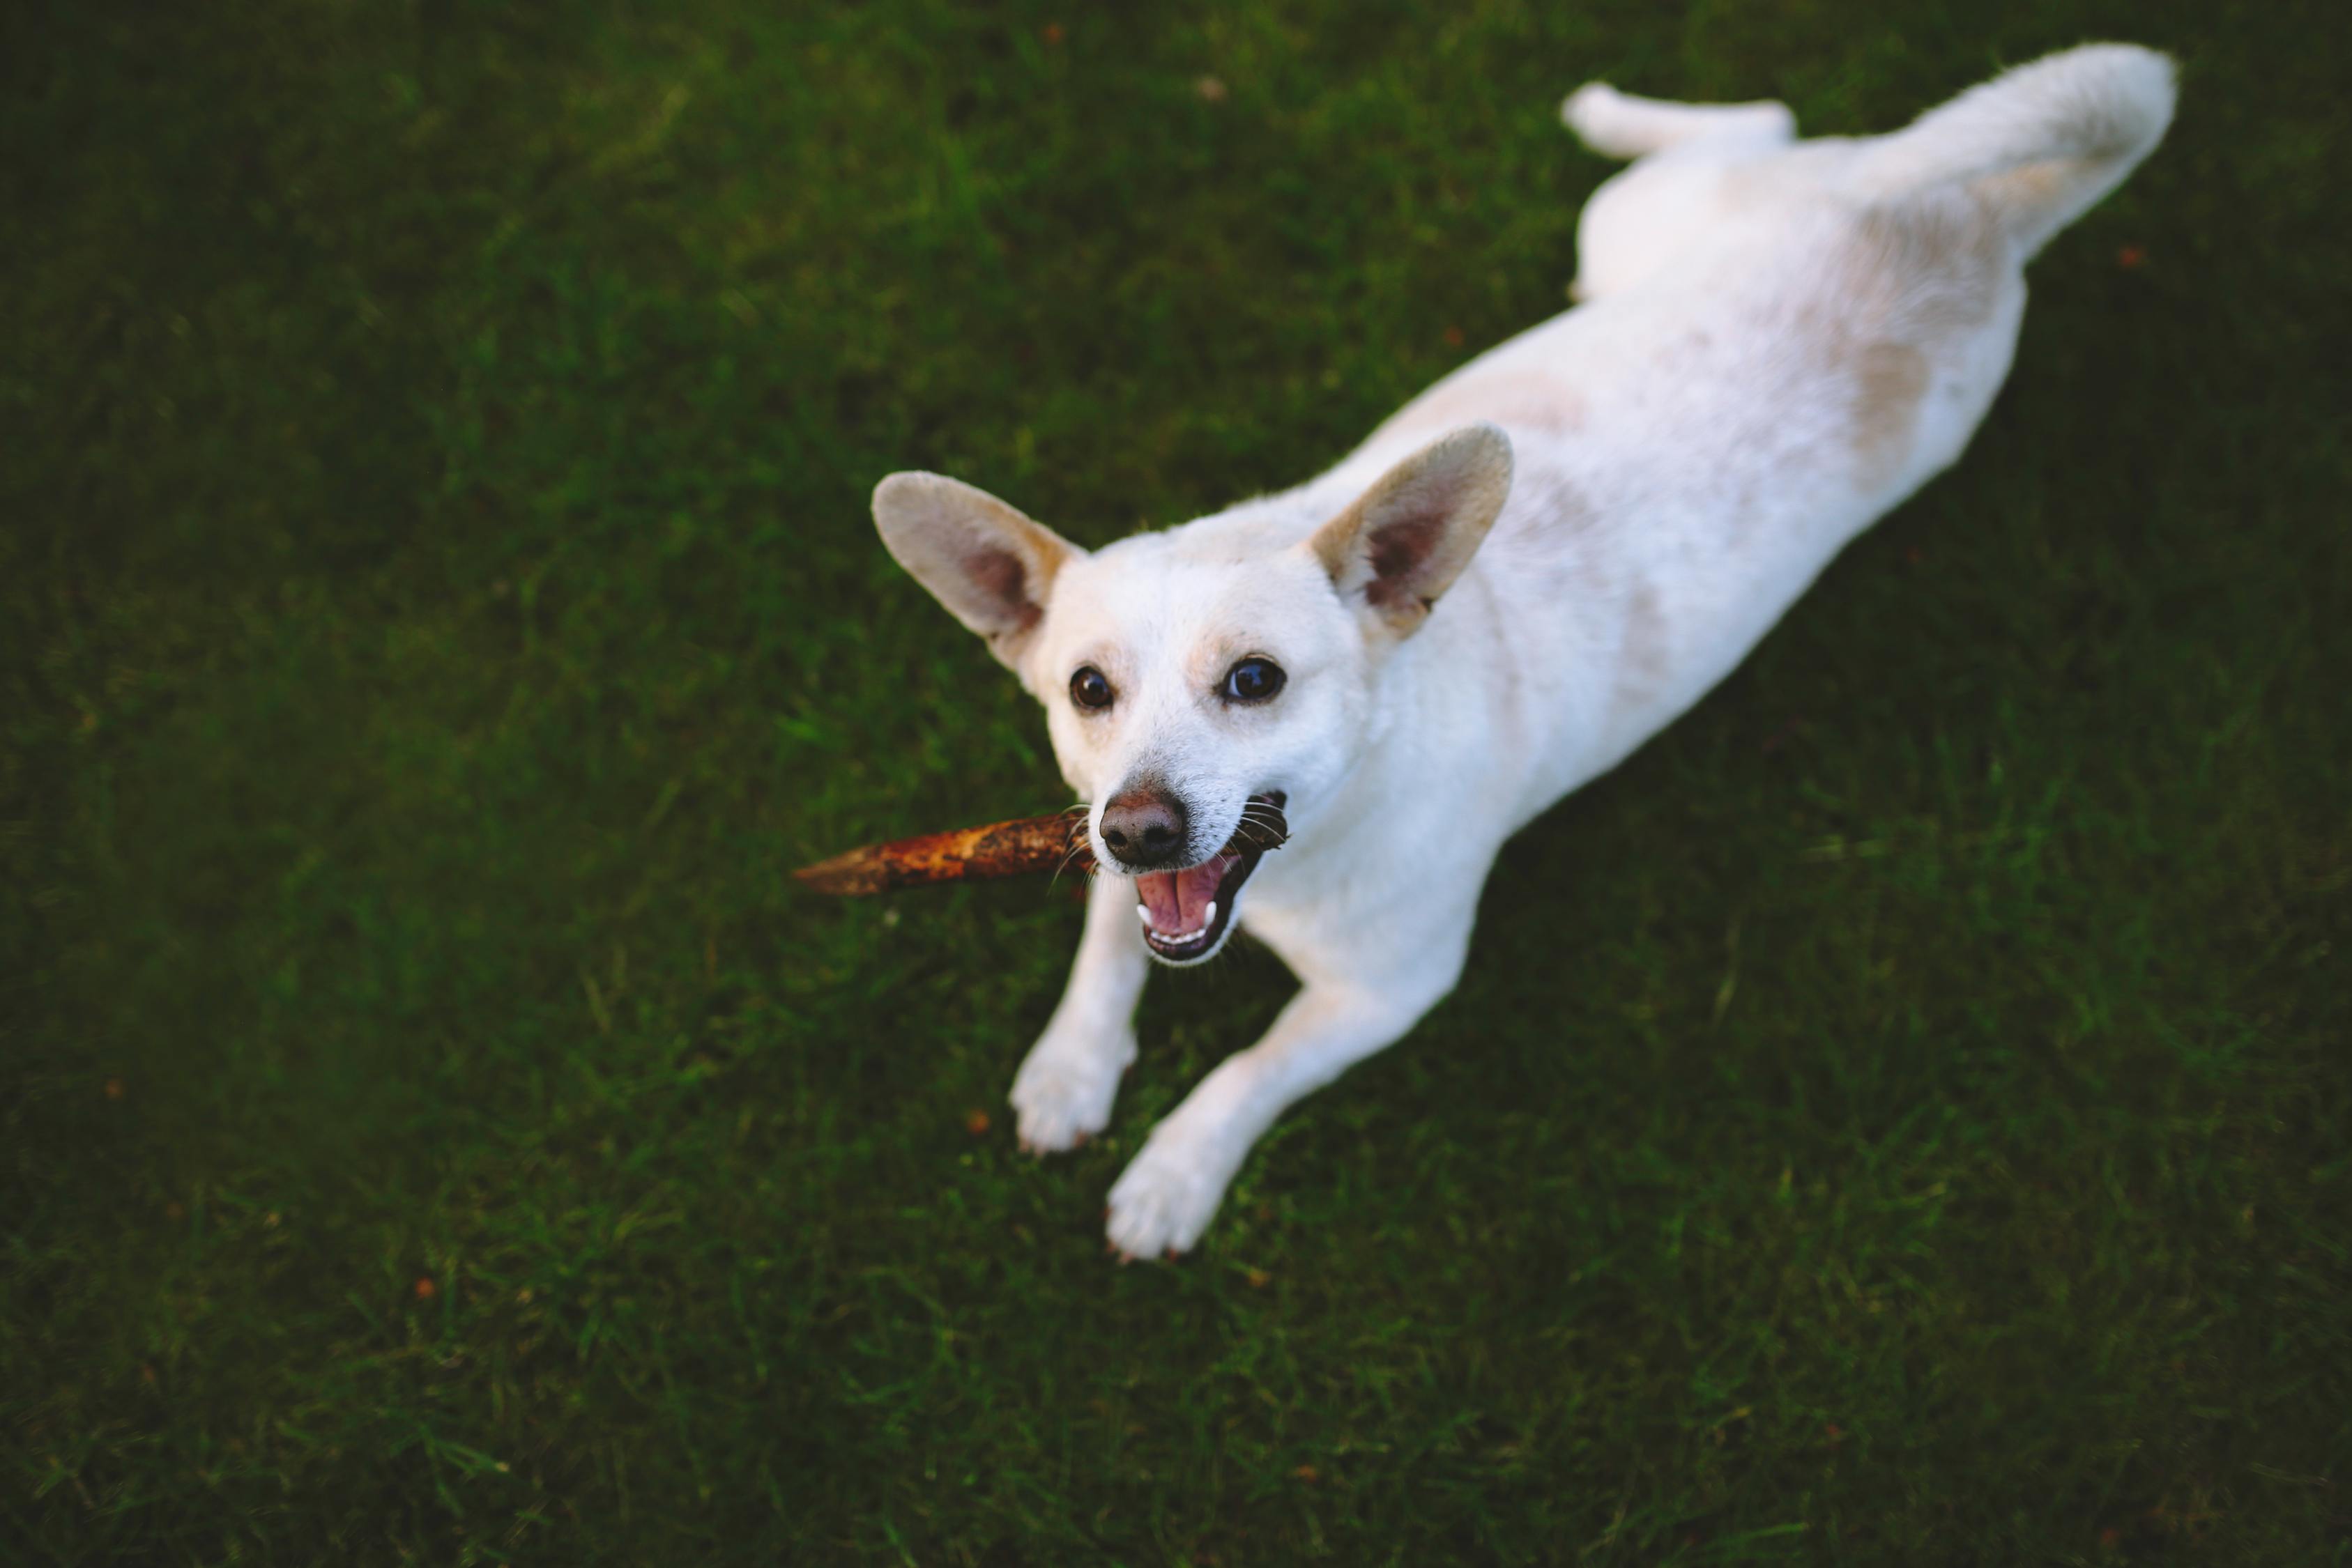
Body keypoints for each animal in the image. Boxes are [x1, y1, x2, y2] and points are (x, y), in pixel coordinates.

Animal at [875, 43, 2173, 1260]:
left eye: (1254, 681)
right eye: (1086, 689)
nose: (1140, 828)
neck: (1310, 851)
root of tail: (1970, 212)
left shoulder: (1389, 993)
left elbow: (1249, 1069)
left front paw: (1174, 1172)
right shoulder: (1103, 844)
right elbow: (1105, 941)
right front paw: (1070, 1068)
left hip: (1666, 231)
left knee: (1757, 117)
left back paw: (1604, 108)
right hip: (1644, 236)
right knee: (1760, 124)